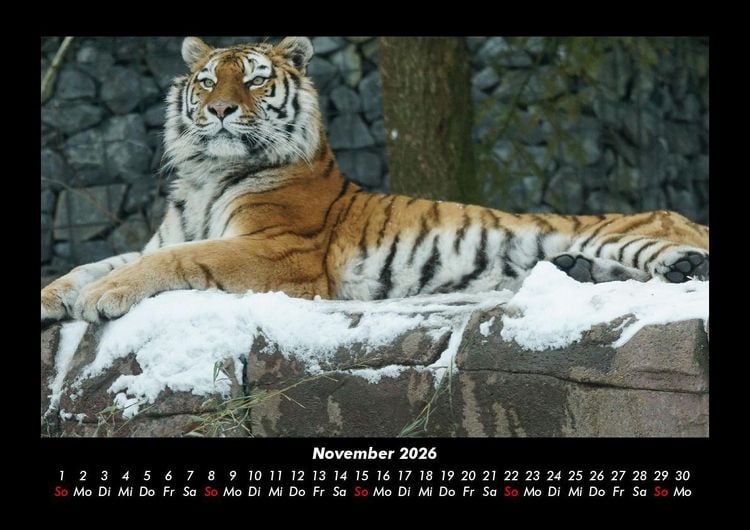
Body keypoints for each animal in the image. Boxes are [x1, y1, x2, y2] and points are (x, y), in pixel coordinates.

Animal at [40, 36, 709, 325]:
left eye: (254, 80)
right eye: (207, 81)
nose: (221, 109)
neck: (207, 174)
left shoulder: (278, 250)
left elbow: (174, 261)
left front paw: (103, 298)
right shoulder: (165, 235)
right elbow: (94, 262)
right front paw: (58, 295)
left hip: (630, 233)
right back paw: (578, 272)